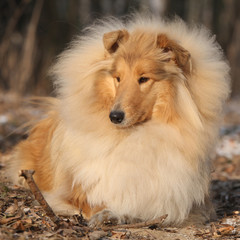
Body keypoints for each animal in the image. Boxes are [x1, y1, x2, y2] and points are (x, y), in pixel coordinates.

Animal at [7, 15, 231, 227]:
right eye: (118, 78)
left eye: (144, 78)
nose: (114, 116)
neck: (135, 135)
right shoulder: (78, 190)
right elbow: (97, 200)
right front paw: (107, 214)